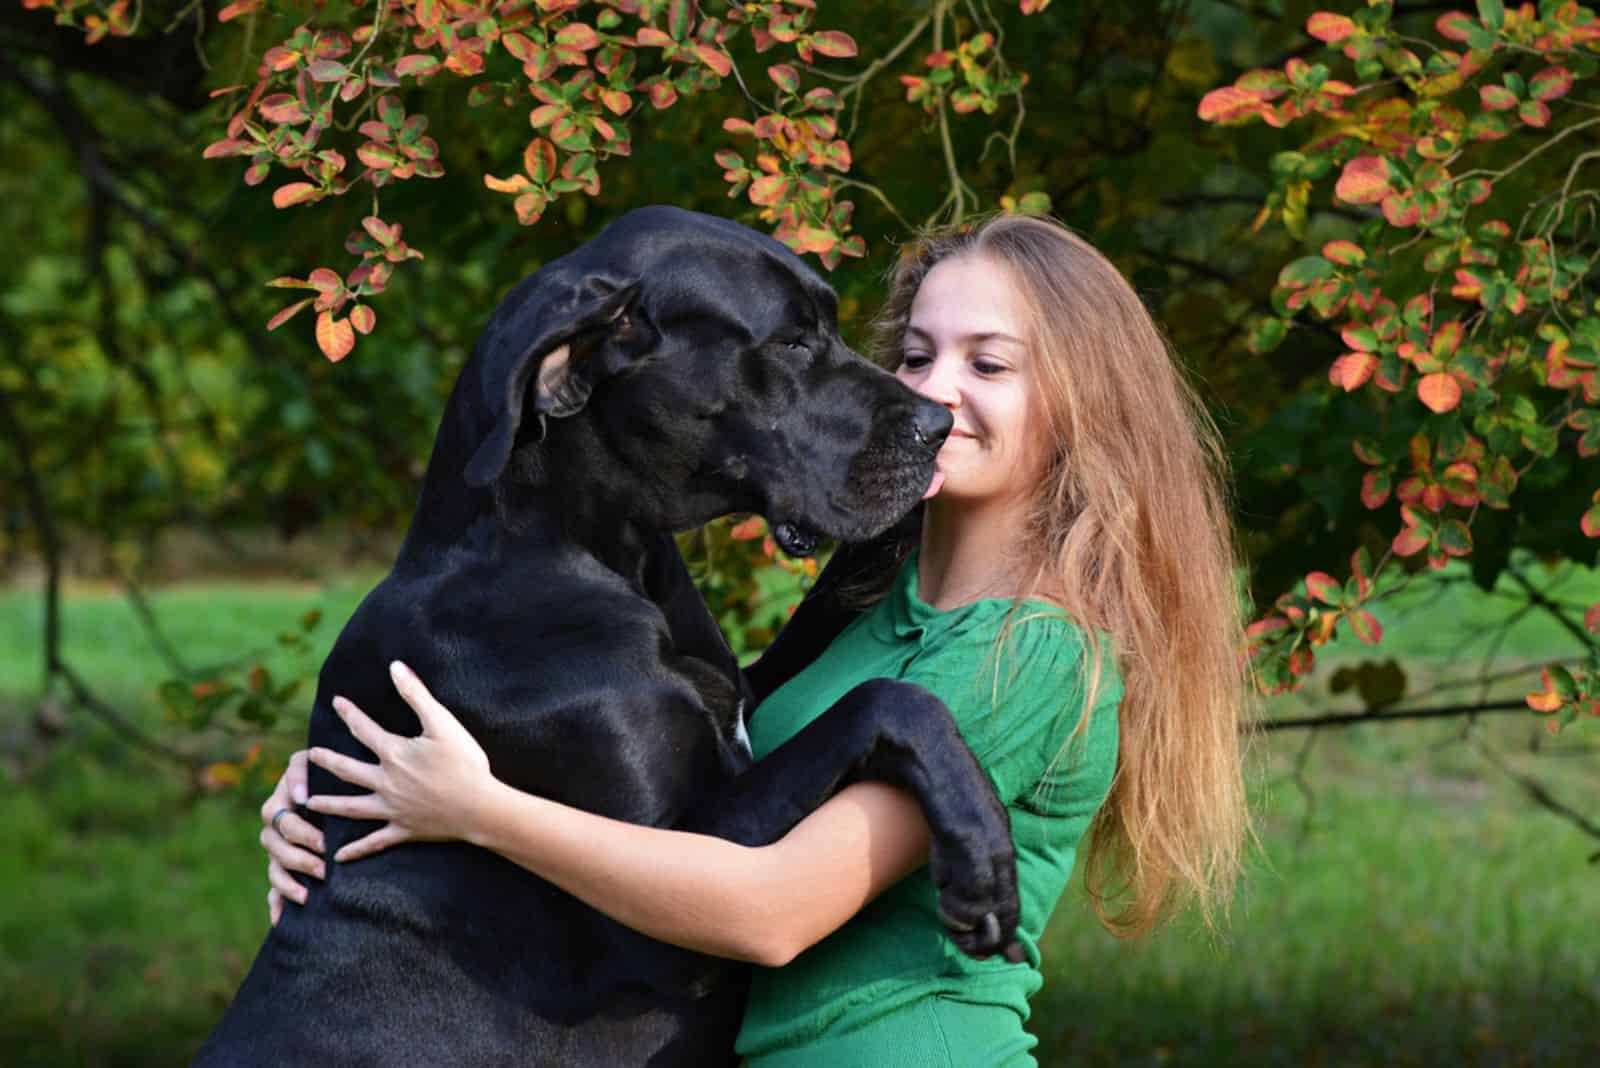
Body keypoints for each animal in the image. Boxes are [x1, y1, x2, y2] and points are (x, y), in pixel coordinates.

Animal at [193, 204, 1017, 1061]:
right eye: (791, 343)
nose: (939, 424)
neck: (589, 554)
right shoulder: (675, 882)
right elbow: (882, 700)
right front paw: (981, 842)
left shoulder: (739, 692)